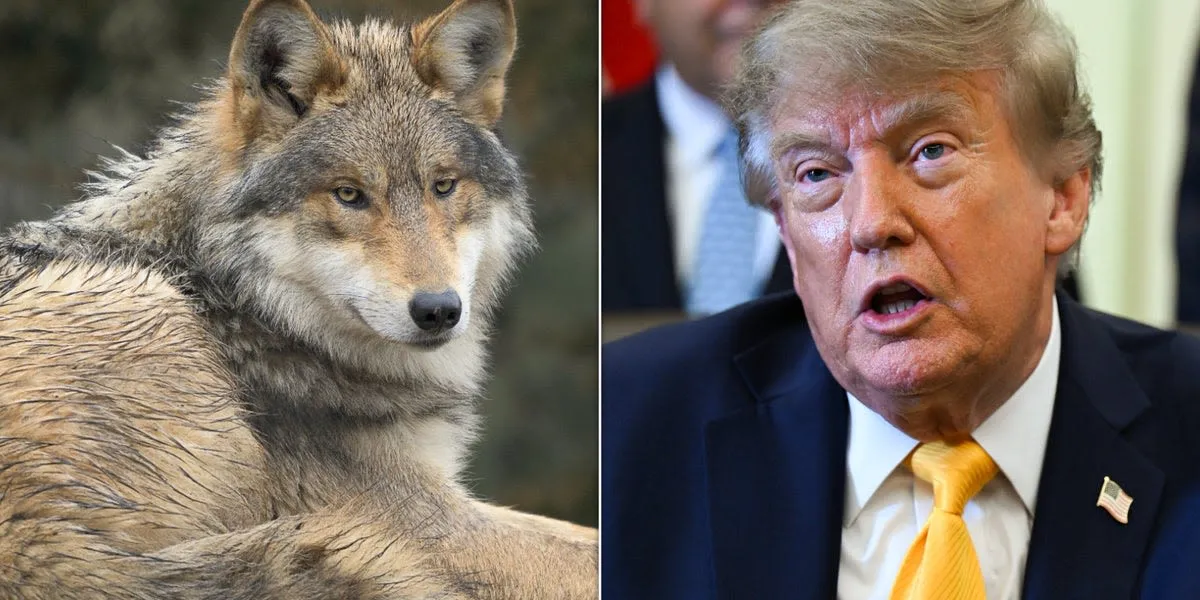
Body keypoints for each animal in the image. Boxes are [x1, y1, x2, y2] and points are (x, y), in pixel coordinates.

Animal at [0, 0, 596, 598]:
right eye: (349, 194)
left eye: (444, 186)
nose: (439, 311)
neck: (240, 303)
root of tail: (36, 549)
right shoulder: (425, 521)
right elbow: (585, 556)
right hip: (151, 310)